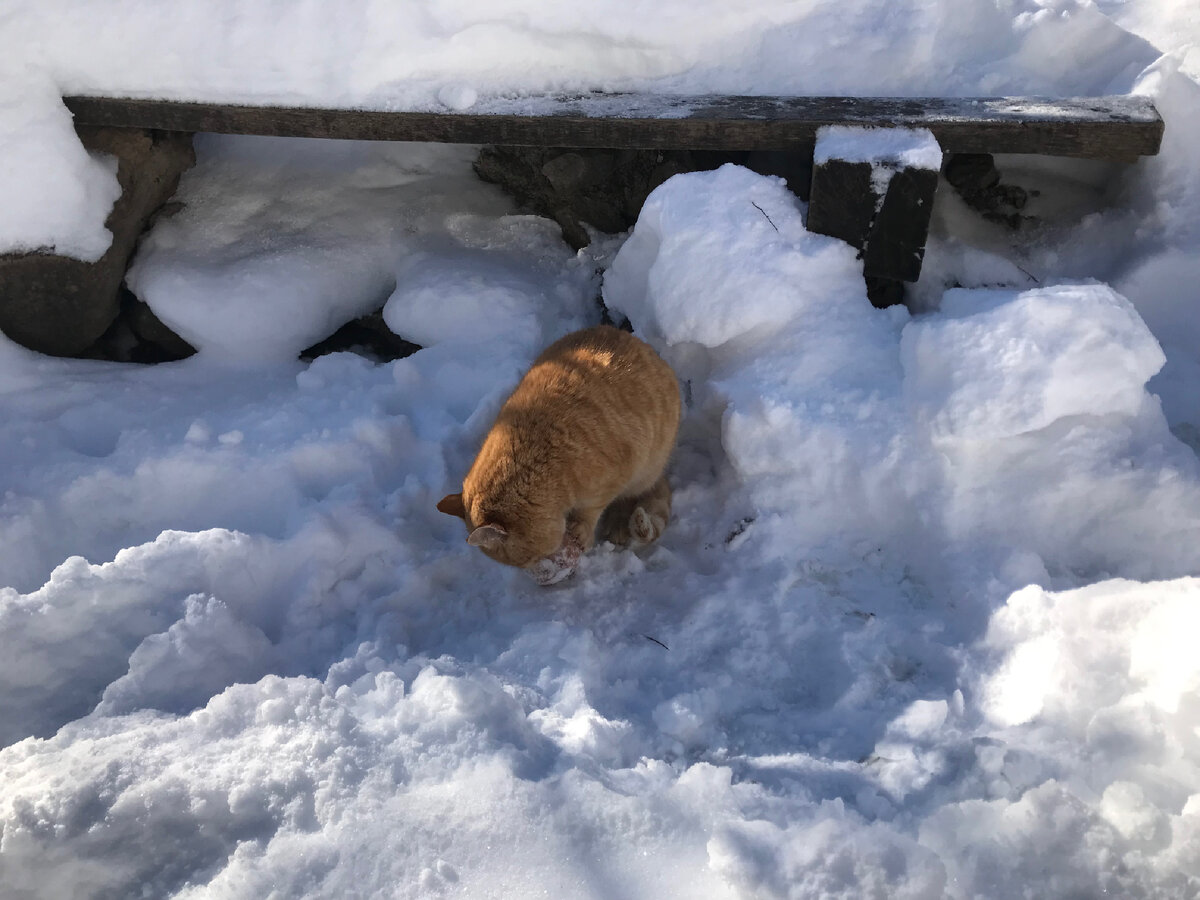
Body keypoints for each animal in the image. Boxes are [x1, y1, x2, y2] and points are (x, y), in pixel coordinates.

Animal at [439, 324, 686, 585]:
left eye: (526, 559)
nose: (540, 573)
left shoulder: (616, 475)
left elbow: (593, 508)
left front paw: (583, 529)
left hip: (647, 469)